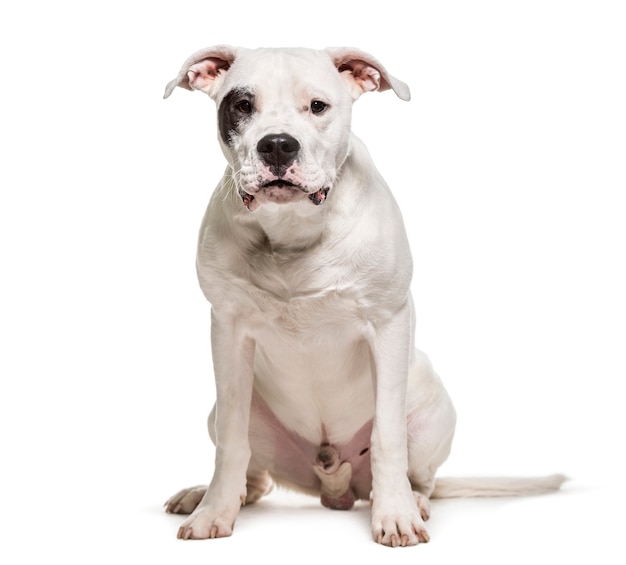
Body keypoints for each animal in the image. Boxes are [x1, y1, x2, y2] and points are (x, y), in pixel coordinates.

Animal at [162, 46, 564, 544]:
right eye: (242, 106)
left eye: (318, 106)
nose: (277, 144)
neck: (292, 229)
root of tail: (333, 485)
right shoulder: (229, 332)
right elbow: (232, 445)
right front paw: (213, 512)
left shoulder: (387, 324)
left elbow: (388, 437)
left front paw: (395, 516)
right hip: (231, 413)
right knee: (254, 477)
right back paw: (207, 495)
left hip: (435, 408)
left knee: (419, 477)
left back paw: (413, 502)